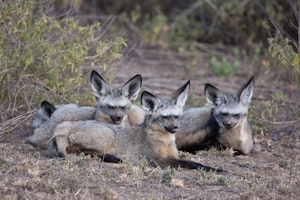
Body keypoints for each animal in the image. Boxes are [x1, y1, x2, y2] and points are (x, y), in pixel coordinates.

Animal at [52, 81, 223, 172]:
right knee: (75, 150)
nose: (175, 128)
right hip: (108, 138)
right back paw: (113, 158)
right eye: (165, 117)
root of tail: (66, 126)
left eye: (177, 116)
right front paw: (212, 169)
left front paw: (213, 168)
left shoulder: (172, 156)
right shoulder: (156, 160)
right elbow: (190, 163)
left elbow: (193, 162)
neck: (165, 141)